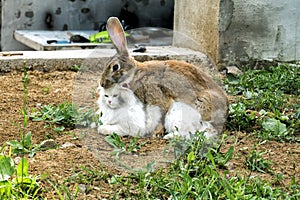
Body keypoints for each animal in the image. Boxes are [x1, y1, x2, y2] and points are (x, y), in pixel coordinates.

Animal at [99, 16, 229, 139]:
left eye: (115, 67)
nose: (102, 83)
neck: (136, 73)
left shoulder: (158, 98)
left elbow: (161, 115)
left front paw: (156, 133)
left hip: (201, 103)